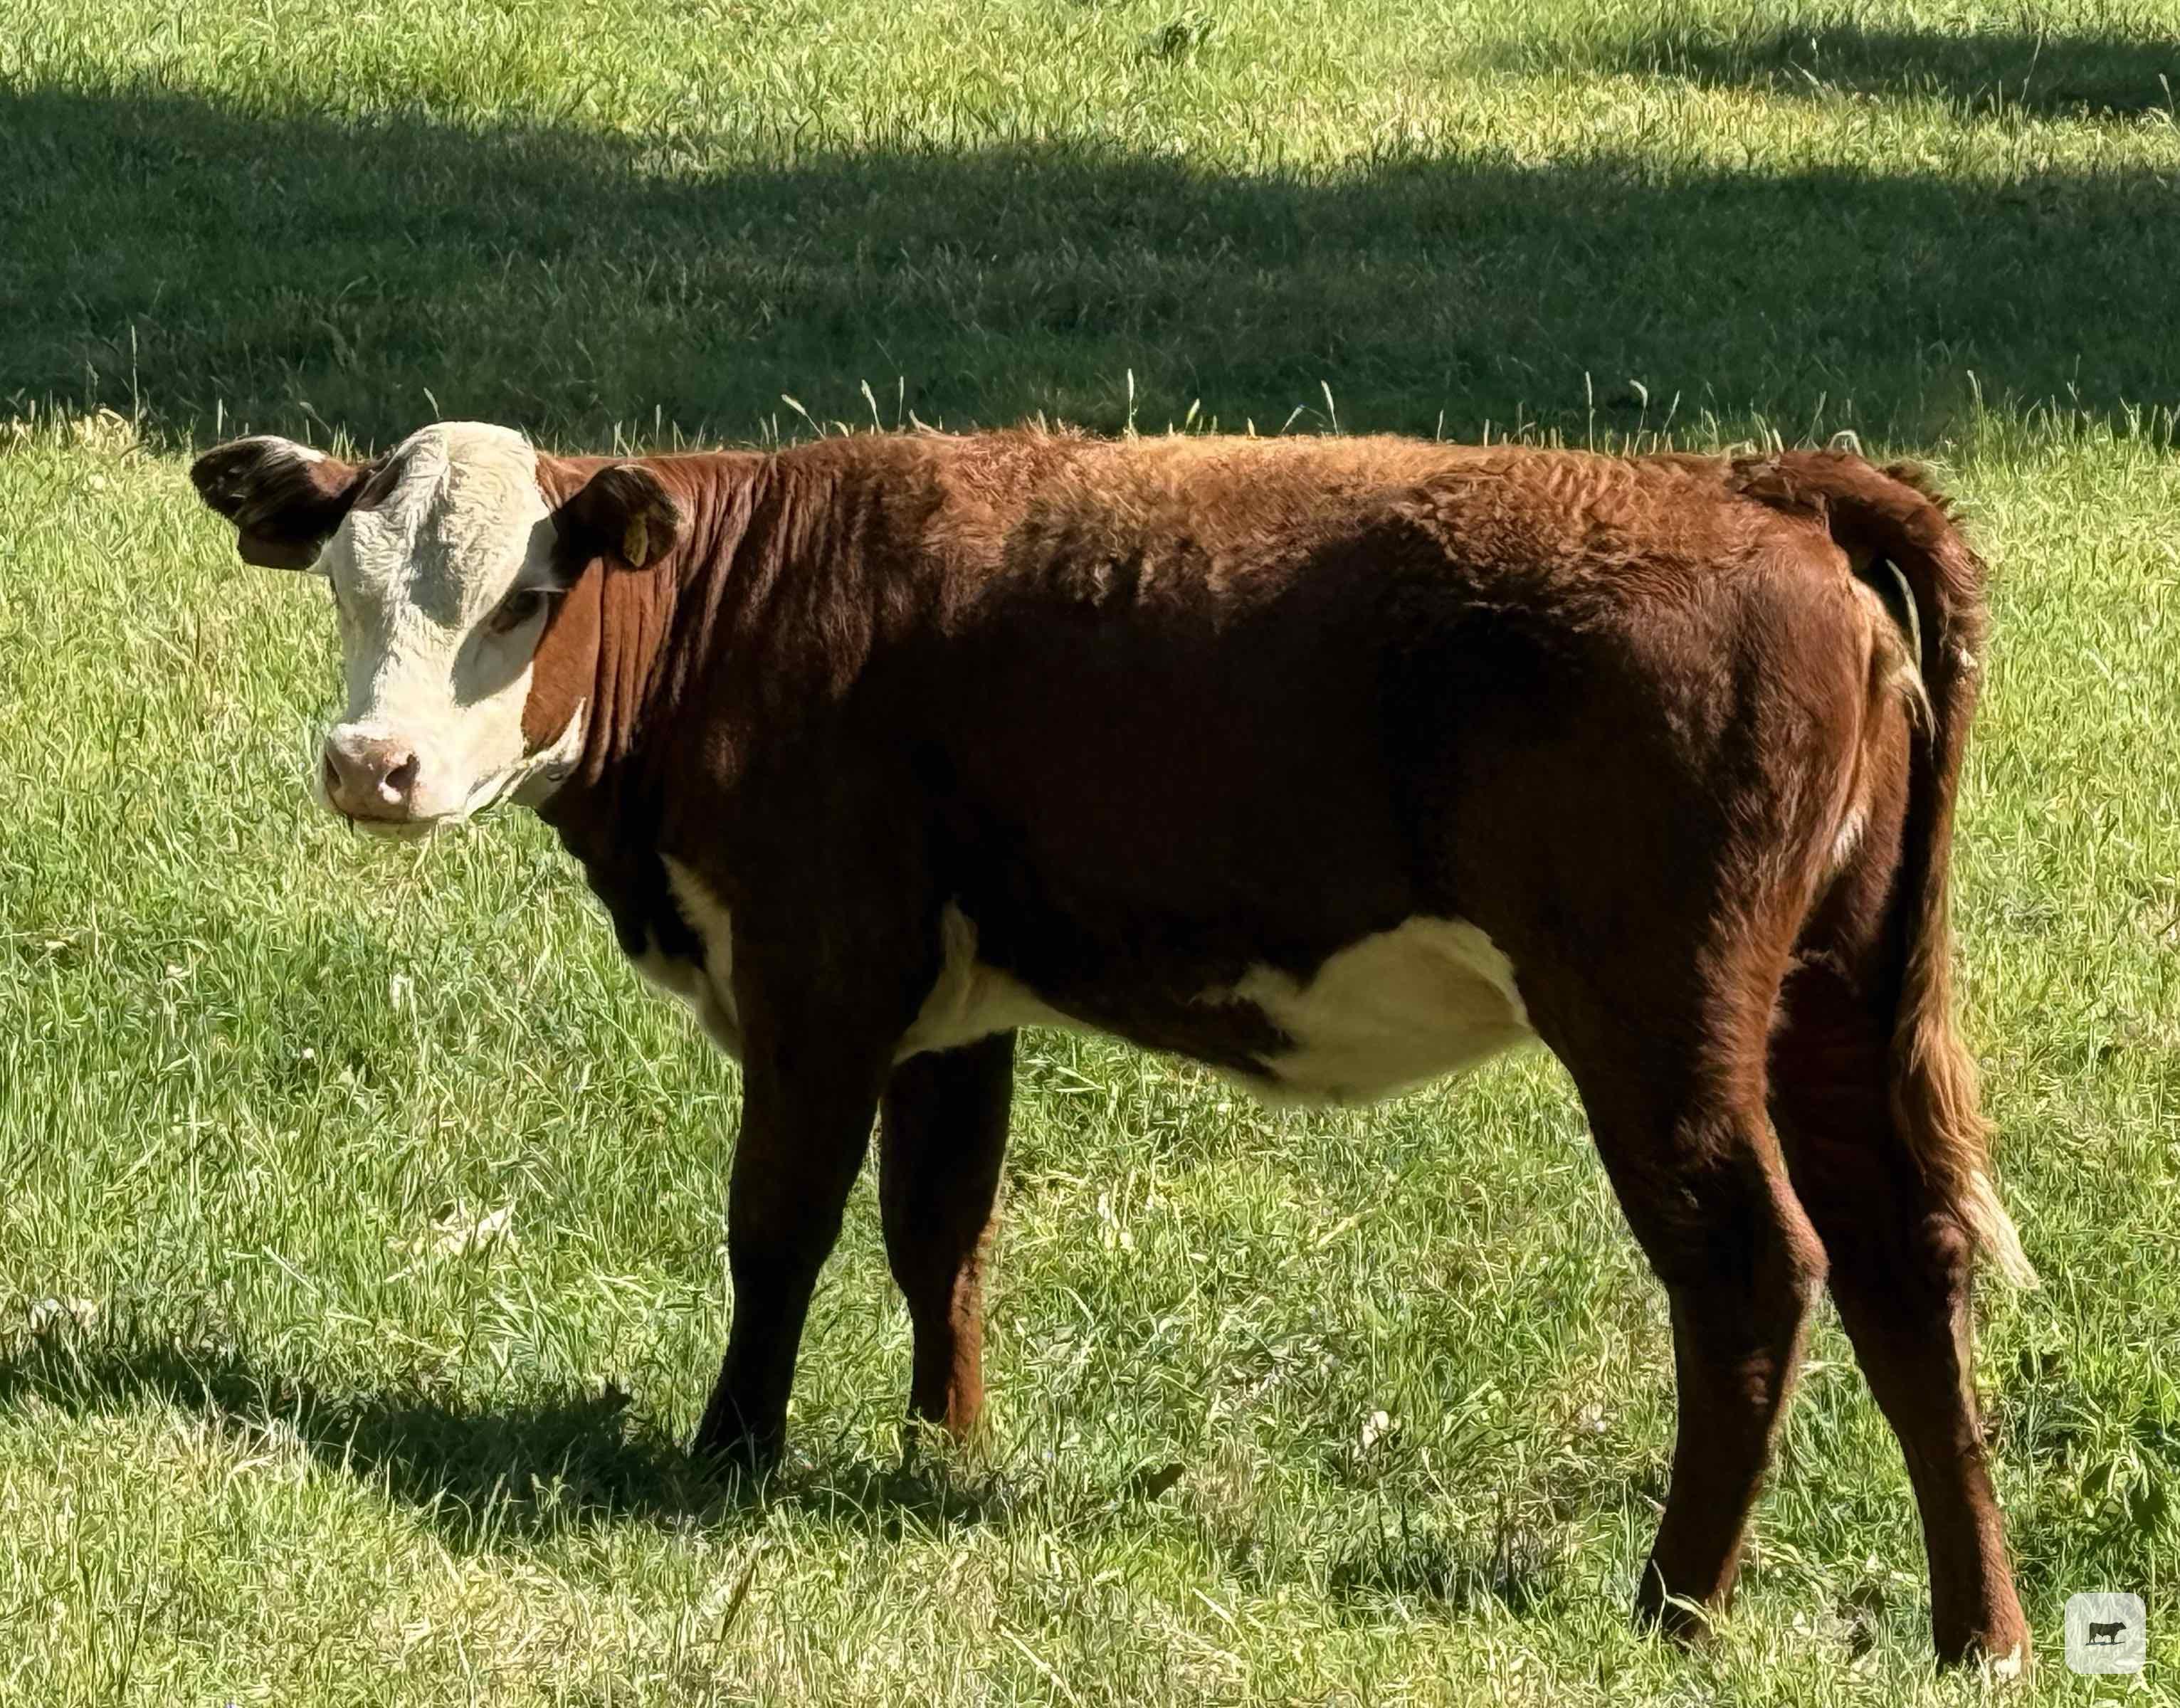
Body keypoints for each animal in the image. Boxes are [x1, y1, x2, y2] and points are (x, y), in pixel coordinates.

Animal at [191, 421, 2034, 1667]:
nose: (368, 764)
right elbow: (939, 1228)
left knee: (1751, 1267)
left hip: (1659, 1020)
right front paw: (940, 1450)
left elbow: (777, 1223)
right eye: (348, 583)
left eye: (525, 597)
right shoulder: (950, 1006)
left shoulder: (818, 970)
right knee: (1903, 1263)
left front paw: (731, 1453)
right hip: (1826, 1001)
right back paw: (1979, 1626)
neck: (748, 614)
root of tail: (1757, 487)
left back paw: (1676, 1600)